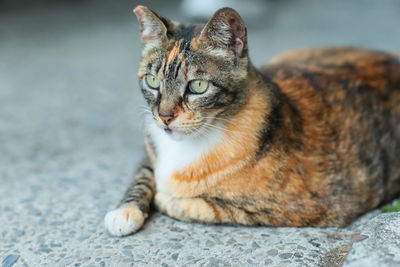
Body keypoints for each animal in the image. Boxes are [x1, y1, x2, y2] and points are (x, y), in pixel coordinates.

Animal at [104, 5, 400, 237]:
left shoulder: (302, 208)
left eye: (198, 86)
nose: (164, 117)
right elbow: (143, 175)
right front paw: (124, 211)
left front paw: (166, 199)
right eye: (152, 81)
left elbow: (205, 206)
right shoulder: (150, 149)